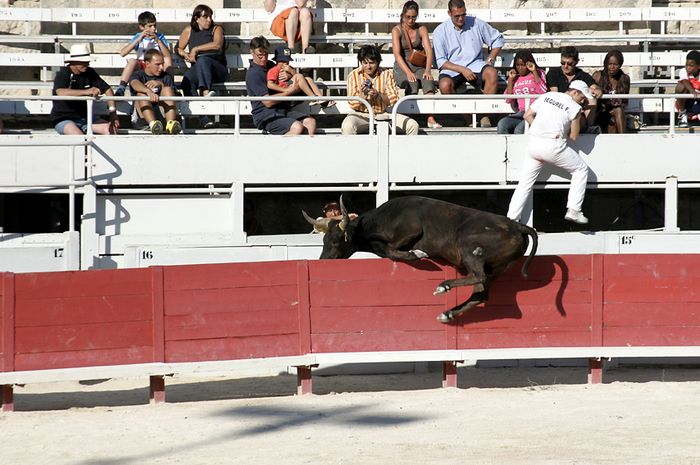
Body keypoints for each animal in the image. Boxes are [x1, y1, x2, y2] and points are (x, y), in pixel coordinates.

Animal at [304, 195, 540, 322]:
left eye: (336, 241)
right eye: (324, 240)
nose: (323, 261)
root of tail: (517, 225)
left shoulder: (410, 230)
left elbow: (391, 250)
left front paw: (418, 254)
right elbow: (384, 249)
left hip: (469, 249)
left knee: (478, 275)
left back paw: (443, 286)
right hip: (497, 269)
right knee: (481, 293)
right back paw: (447, 314)